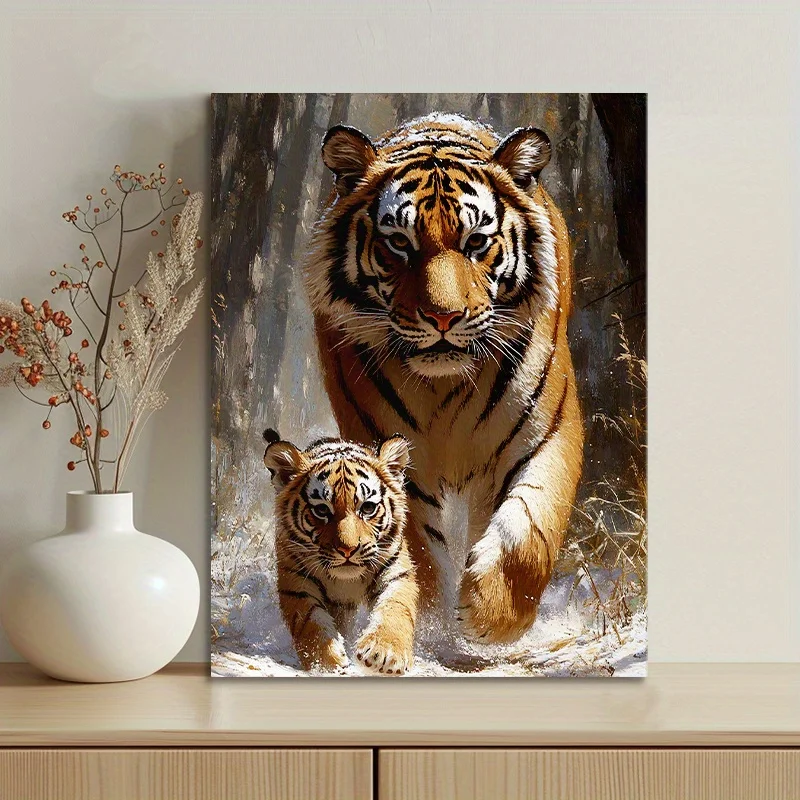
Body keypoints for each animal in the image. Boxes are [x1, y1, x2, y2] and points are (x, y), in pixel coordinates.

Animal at [263, 429, 419, 674]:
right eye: (321, 510)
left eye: (367, 507)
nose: (348, 549)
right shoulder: (297, 581)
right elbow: (310, 622)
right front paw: (326, 662)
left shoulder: (395, 571)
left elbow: (395, 608)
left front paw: (385, 654)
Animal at [303, 112, 584, 644]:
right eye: (399, 243)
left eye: (476, 242)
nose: (443, 317)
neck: (446, 385)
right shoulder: (388, 453)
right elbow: (412, 544)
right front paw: (431, 622)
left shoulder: (548, 432)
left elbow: (531, 529)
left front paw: (489, 615)